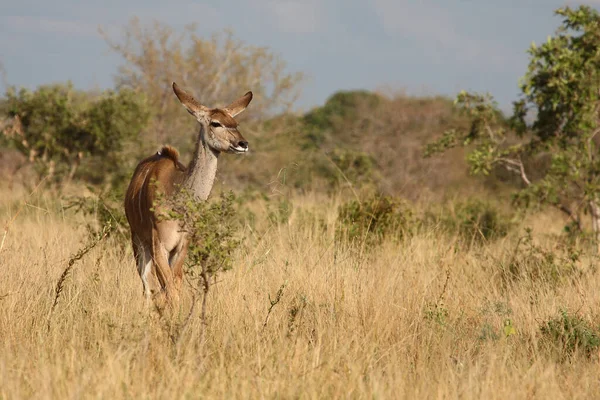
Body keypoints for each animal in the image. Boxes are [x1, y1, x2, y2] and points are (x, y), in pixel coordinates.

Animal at [124, 83, 251, 304]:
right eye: (216, 123)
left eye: (235, 122)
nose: (242, 144)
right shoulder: (158, 245)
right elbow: (168, 290)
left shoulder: (182, 246)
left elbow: (175, 286)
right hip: (138, 241)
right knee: (147, 286)